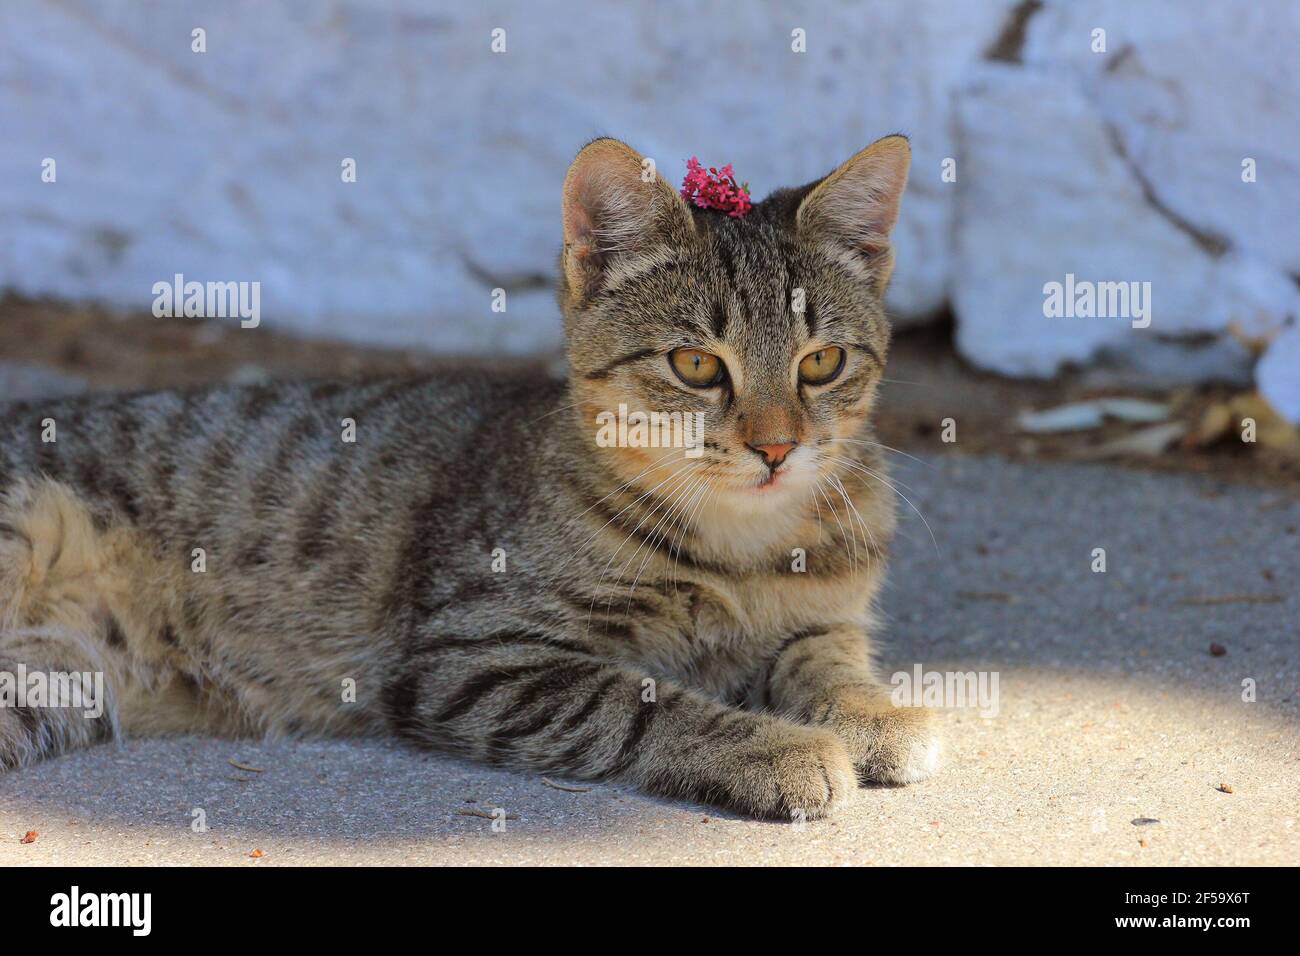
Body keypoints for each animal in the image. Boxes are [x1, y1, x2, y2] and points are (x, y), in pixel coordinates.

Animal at [0, 136, 935, 822]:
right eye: (697, 365)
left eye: (822, 363)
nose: (777, 449)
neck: (741, 544)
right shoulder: (473, 655)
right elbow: (638, 699)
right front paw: (773, 748)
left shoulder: (822, 616)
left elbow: (826, 659)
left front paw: (872, 713)